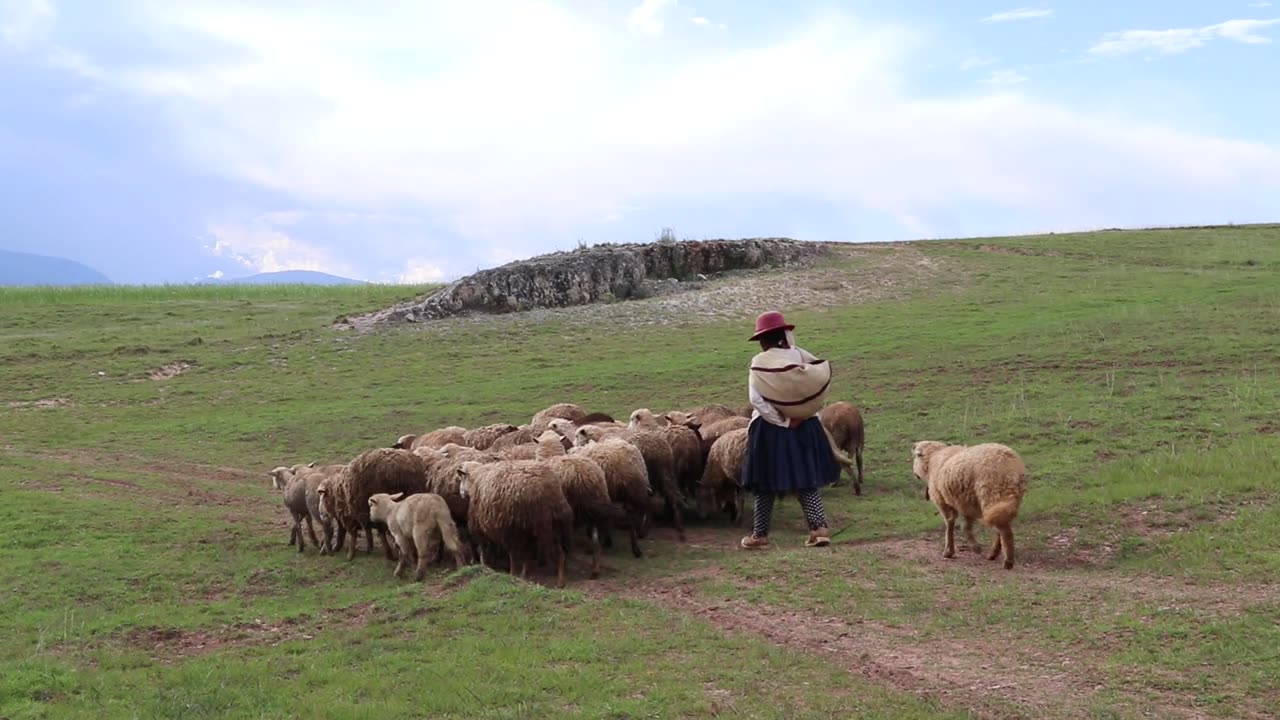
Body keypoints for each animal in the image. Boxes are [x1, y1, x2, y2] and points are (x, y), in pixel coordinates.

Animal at [453, 456, 568, 586]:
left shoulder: (480, 525)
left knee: (515, 555)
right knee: (558, 553)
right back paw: (557, 579)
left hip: (520, 526)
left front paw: (484, 566)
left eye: (461, 478)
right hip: (548, 525)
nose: (461, 493)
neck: (476, 479)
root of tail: (547, 489)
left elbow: (483, 548)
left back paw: (514, 574)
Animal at [911, 440, 1029, 568]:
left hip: (991, 495)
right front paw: (974, 546)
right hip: (1006, 499)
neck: (932, 459)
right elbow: (966, 526)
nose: (914, 474)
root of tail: (1010, 464)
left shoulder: (943, 501)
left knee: (1004, 529)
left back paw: (1007, 561)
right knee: (1001, 525)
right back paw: (993, 553)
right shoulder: (965, 503)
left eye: (916, 456)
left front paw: (949, 550)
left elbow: (950, 524)